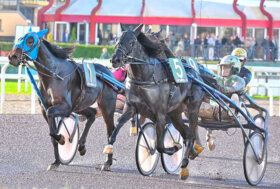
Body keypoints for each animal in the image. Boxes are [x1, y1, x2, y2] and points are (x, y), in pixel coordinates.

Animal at [8, 30, 116, 170]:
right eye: (19, 38)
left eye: (30, 40)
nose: (12, 57)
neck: (54, 74)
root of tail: (108, 71)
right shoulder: (46, 108)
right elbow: (52, 133)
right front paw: (56, 161)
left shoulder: (65, 107)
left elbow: (54, 127)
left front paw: (62, 138)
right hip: (79, 106)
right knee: (92, 114)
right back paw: (81, 146)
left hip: (106, 106)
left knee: (110, 130)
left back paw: (107, 162)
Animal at [102, 24, 203, 179]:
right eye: (117, 40)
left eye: (131, 42)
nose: (115, 60)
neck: (146, 77)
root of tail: (195, 74)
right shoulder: (131, 107)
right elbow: (117, 126)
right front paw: (108, 154)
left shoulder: (160, 114)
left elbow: (159, 146)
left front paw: (174, 147)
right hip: (175, 113)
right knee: (185, 133)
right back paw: (191, 153)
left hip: (192, 110)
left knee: (191, 135)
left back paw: (184, 163)